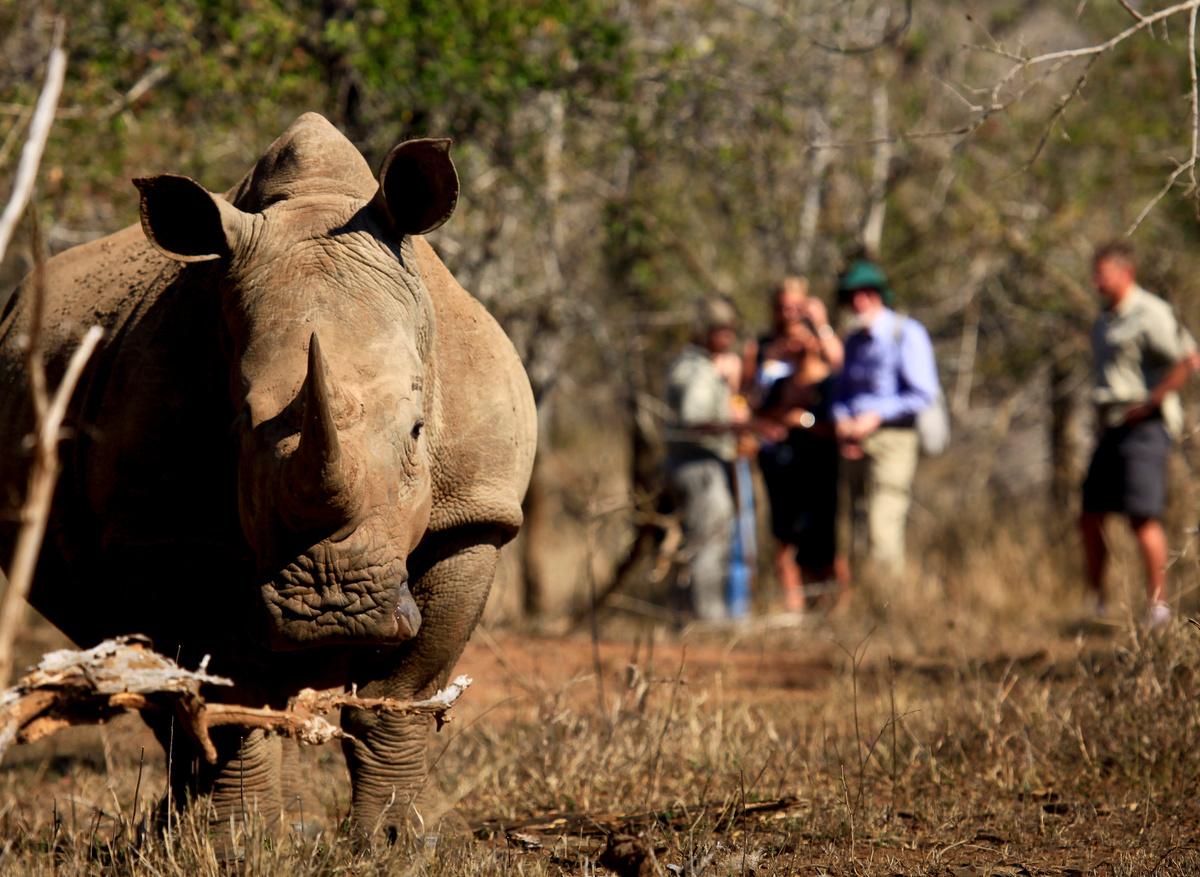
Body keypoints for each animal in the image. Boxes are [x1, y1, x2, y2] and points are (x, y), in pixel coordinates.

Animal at [0, 113, 536, 841]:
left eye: (419, 428)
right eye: (237, 429)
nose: (334, 610)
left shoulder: (474, 513)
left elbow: (400, 694)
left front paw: (394, 842)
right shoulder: (165, 530)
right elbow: (222, 694)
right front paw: (235, 842)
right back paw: (176, 833)